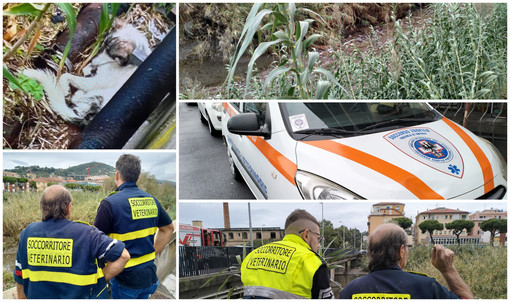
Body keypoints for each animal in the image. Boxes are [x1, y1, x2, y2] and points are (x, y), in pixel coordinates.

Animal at [23, 19, 151, 126]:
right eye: (103, 46)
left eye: (110, 53)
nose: (93, 61)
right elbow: (86, 70)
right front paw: (89, 68)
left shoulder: (95, 82)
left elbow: (65, 75)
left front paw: (66, 89)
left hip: (97, 94)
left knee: (74, 99)